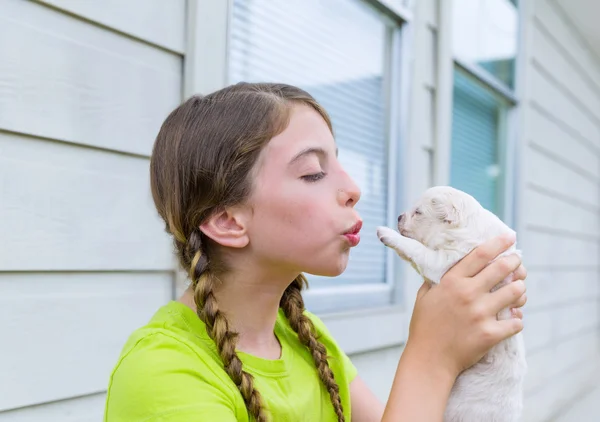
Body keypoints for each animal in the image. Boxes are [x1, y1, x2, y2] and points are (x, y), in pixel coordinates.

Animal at [378, 187, 528, 422]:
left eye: (418, 212)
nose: (399, 216)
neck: (468, 227)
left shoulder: (442, 262)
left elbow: (416, 249)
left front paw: (386, 233)